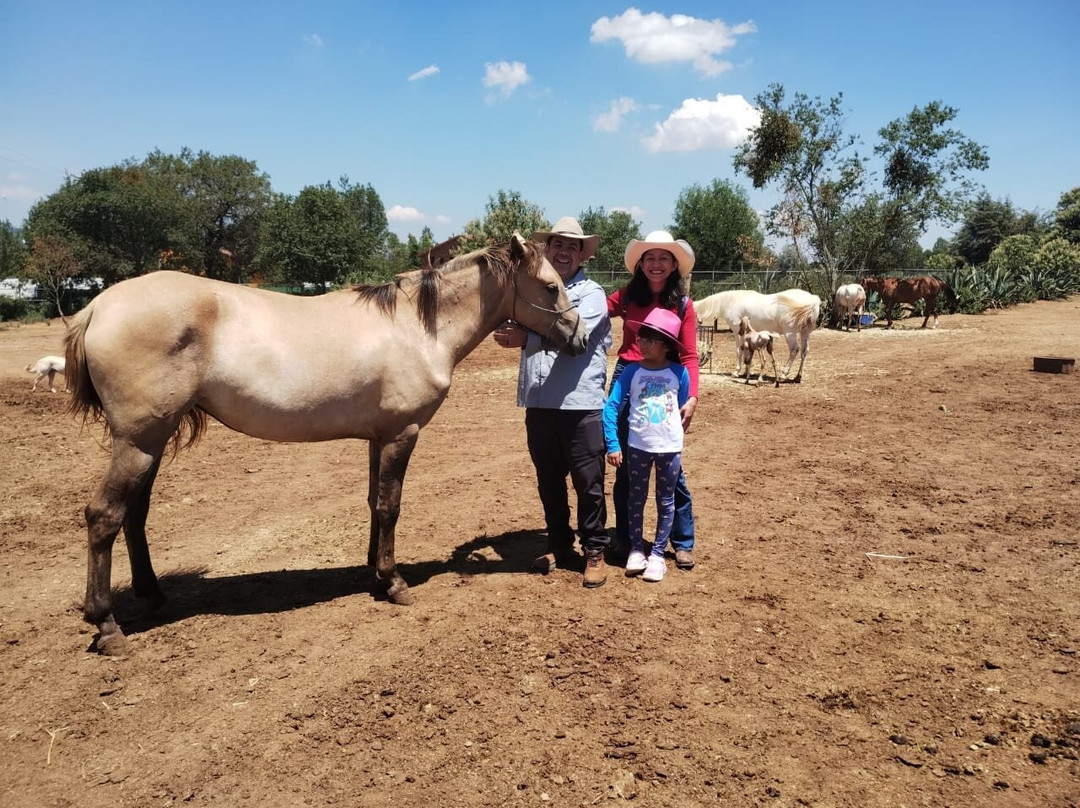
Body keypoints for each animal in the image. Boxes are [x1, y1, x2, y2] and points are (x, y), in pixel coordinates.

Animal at [63, 234, 585, 655]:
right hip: (138, 441)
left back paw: (152, 595)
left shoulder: (379, 437)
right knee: (104, 516)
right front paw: (395, 582)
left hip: (151, 441)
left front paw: (374, 573)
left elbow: (374, 502)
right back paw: (107, 627)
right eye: (549, 286)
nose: (580, 337)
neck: (417, 329)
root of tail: (97, 309)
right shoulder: (402, 434)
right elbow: (391, 506)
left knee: (134, 514)